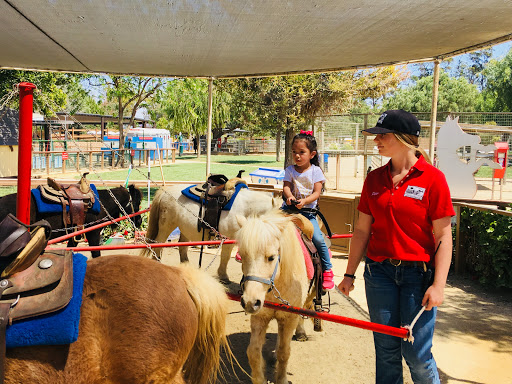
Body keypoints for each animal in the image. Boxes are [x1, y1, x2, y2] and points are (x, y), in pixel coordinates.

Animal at [140, 184, 276, 280]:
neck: (245, 208)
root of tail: (165, 191)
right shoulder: (228, 238)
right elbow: (226, 256)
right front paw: (223, 276)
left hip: (184, 228)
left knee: (182, 246)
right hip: (166, 226)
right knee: (158, 244)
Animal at [236, 210, 316, 384]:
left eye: (271, 257)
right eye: (242, 256)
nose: (250, 302)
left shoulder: (290, 318)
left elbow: (284, 352)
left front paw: (281, 379)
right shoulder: (260, 317)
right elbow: (253, 352)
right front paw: (259, 378)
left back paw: (301, 333)